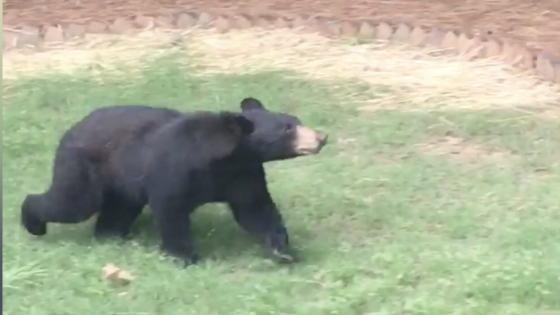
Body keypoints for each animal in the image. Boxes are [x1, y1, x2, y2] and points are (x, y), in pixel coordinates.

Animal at [20, 97, 328, 266]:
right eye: (287, 129)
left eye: (295, 120)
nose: (321, 137)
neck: (224, 158)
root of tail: (73, 127)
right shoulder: (174, 169)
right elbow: (170, 209)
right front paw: (186, 257)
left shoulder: (245, 174)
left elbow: (256, 210)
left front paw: (284, 251)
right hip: (84, 165)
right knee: (71, 203)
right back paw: (33, 222)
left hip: (123, 181)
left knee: (118, 208)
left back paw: (110, 235)